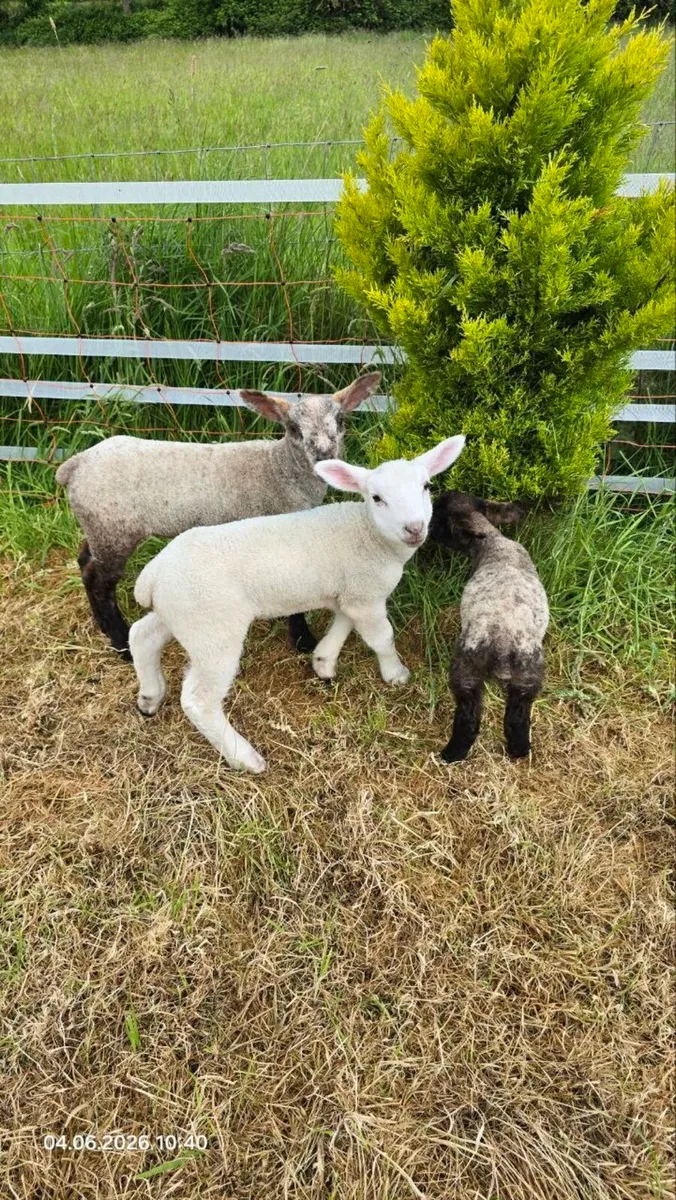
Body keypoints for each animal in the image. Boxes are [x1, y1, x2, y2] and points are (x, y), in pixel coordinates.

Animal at [55, 372, 381, 660]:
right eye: (293, 428)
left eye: (340, 420)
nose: (325, 457)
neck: (279, 469)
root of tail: (75, 464)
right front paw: (303, 640)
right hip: (114, 529)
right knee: (99, 581)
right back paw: (121, 643)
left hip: (97, 526)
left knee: (84, 561)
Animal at [128, 435, 465, 774]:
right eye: (377, 498)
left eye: (425, 486)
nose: (414, 528)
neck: (367, 532)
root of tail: (153, 574)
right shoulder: (365, 595)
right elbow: (382, 638)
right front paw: (395, 674)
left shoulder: (351, 591)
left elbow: (343, 624)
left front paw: (323, 662)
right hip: (213, 629)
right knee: (198, 700)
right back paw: (244, 757)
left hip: (183, 613)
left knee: (142, 635)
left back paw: (150, 697)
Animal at [428, 491, 549, 762]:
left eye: (438, 516)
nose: (426, 531)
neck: (492, 540)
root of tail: (502, 647)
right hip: (526, 681)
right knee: (516, 720)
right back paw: (518, 751)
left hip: (466, 672)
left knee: (469, 719)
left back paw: (451, 754)